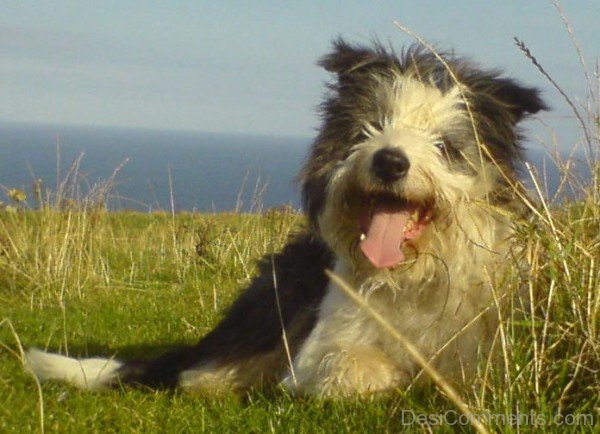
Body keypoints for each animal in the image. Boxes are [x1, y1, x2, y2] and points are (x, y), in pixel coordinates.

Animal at [25, 39, 548, 396]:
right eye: (371, 127)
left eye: (445, 145)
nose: (389, 161)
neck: (412, 275)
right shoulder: (325, 344)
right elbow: (352, 367)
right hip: (283, 292)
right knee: (199, 372)